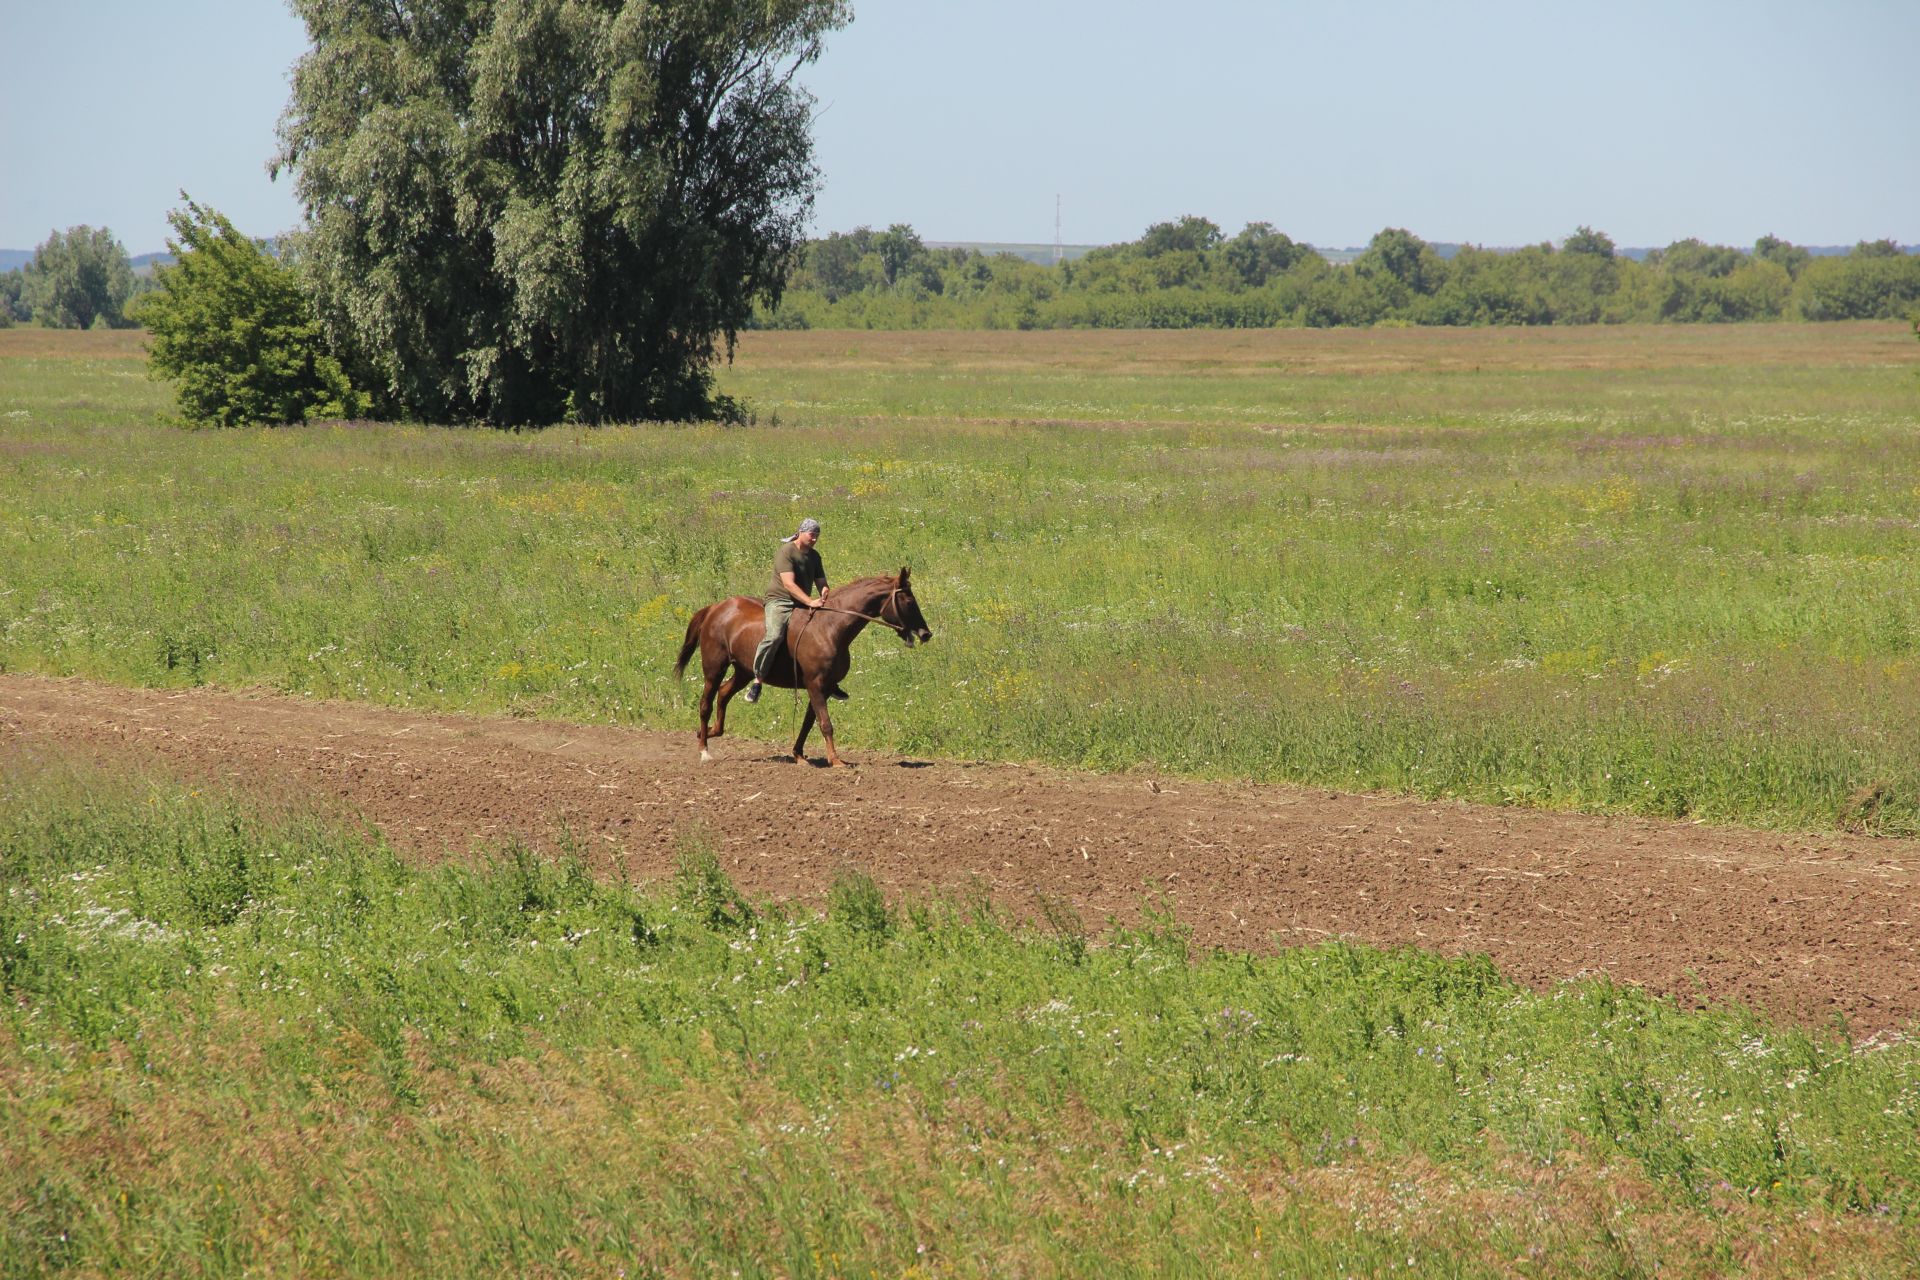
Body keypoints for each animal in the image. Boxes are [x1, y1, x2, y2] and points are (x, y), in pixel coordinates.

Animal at [672, 564, 933, 767]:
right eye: (908, 599)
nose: (926, 633)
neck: (830, 627)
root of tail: (715, 608)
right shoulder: (815, 684)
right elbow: (825, 723)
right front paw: (835, 760)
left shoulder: (823, 688)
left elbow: (809, 723)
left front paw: (798, 755)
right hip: (714, 668)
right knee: (705, 703)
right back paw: (704, 749)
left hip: (743, 671)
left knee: (724, 694)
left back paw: (710, 731)